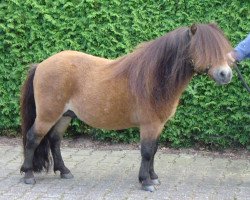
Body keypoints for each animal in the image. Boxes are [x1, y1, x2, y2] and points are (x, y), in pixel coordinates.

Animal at [19, 23, 232, 192]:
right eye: (203, 49)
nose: (226, 74)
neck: (155, 79)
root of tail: (41, 65)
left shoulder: (158, 126)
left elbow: (154, 150)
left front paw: (153, 176)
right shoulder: (149, 125)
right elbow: (146, 152)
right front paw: (146, 182)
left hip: (64, 116)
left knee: (54, 140)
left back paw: (64, 171)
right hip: (47, 116)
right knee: (33, 138)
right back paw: (28, 175)